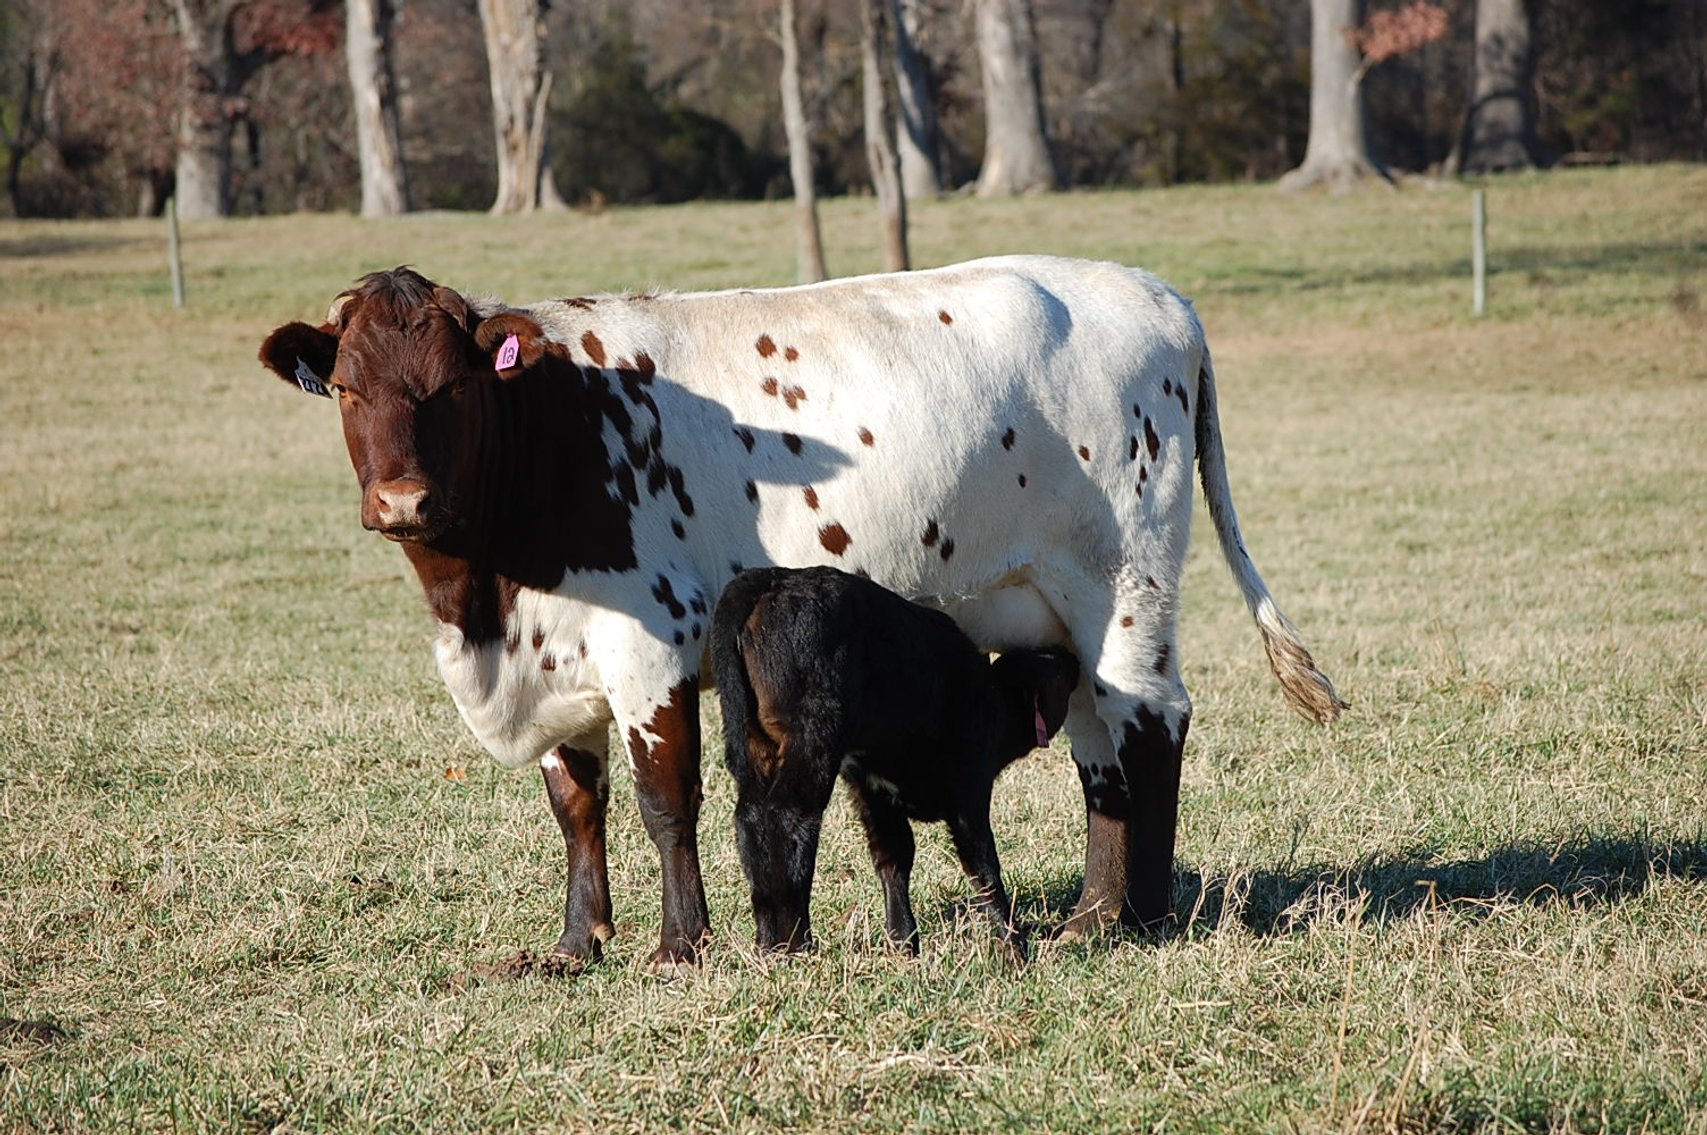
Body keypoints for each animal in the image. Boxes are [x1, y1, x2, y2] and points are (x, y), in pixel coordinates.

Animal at [710, 565, 1081, 956]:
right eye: (1054, 672)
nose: (1071, 658)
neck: (992, 701)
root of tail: (774, 578)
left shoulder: (871, 790)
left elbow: (894, 856)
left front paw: (903, 941)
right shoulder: (969, 787)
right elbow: (982, 864)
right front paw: (1014, 945)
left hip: (753, 743)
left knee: (750, 818)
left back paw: (768, 939)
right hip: (812, 738)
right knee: (790, 815)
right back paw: (797, 940)